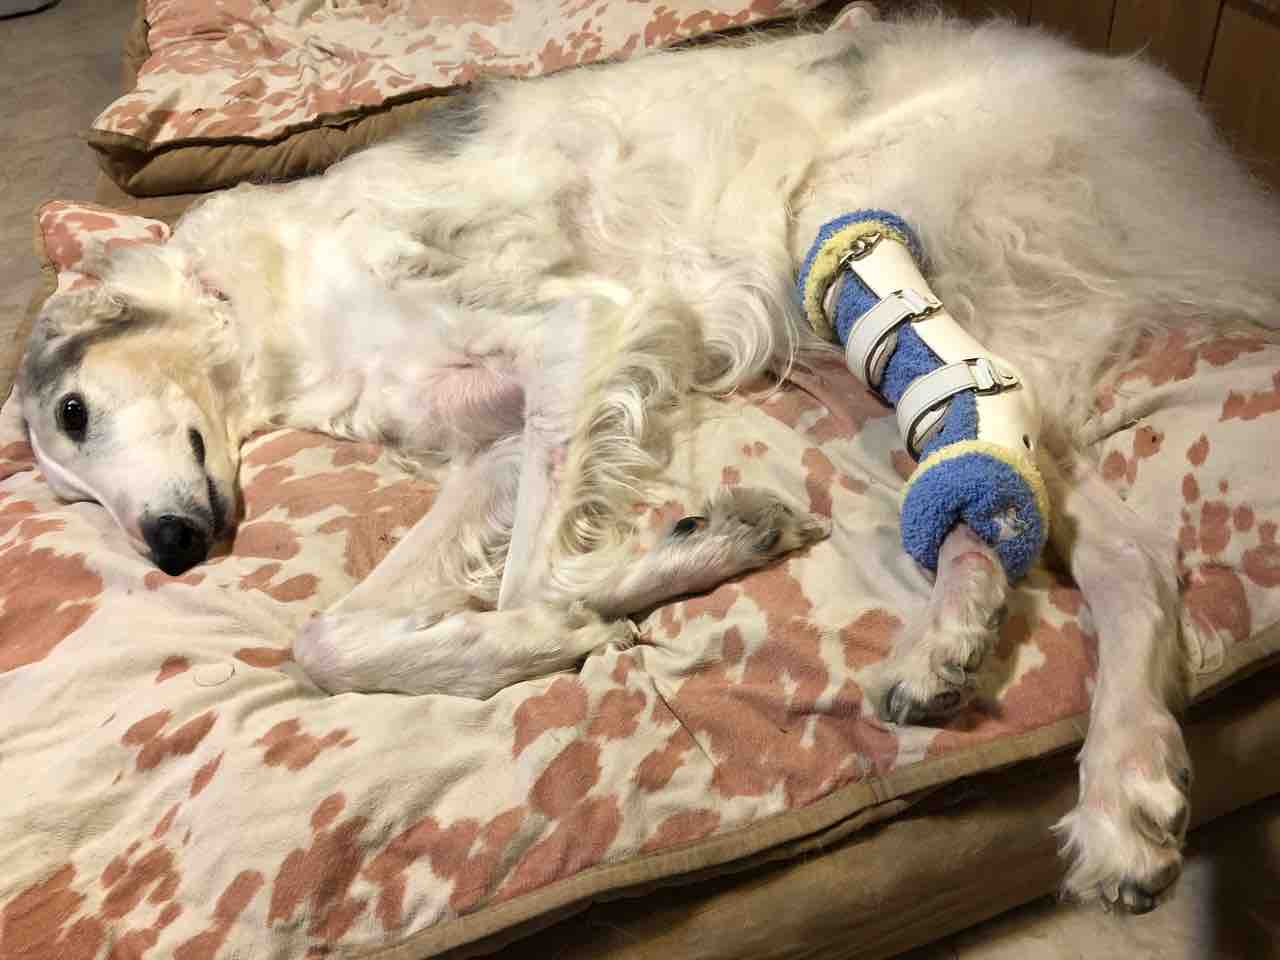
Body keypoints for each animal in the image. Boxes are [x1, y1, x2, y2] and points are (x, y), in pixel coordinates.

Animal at [18, 11, 1280, 914]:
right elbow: (325, 641)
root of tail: (1172, 119)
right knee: (1109, 549)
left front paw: (604, 605)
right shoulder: (491, 445)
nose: (170, 551)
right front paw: (700, 545)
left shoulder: (581, 326)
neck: (269, 302)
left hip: (856, 229)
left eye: (74, 411)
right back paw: (1096, 776)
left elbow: (528, 591)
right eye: (67, 467)